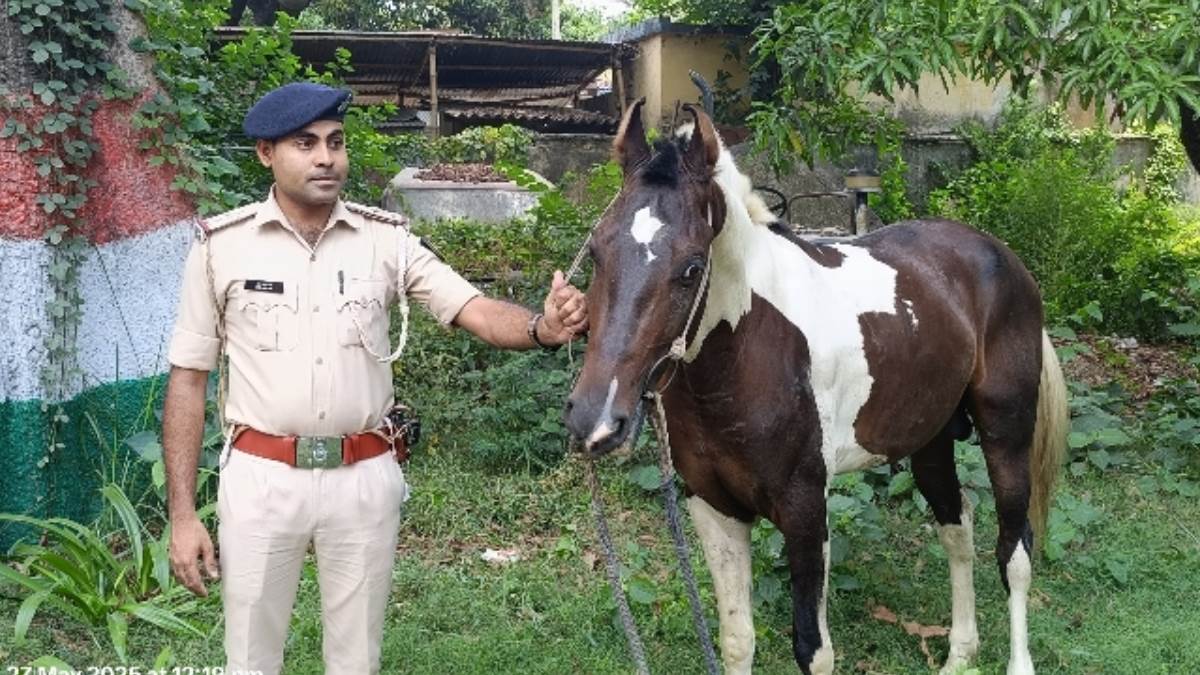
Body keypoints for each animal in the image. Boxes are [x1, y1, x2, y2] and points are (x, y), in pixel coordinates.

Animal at [563, 99, 1068, 675]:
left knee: (1015, 550)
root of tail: (1002, 259)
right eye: (596, 252)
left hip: (1007, 433)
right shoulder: (713, 509)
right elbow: (736, 639)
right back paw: (960, 655)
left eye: (691, 267)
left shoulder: (805, 510)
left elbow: (813, 649)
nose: (595, 420)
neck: (749, 356)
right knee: (957, 527)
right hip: (930, 439)